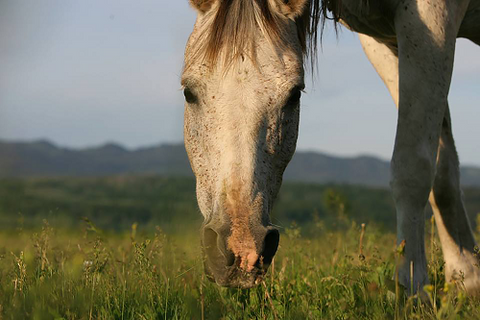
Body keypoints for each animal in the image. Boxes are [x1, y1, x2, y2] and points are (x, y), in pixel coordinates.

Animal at [181, 0, 480, 294]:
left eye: (294, 94)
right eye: (188, 92)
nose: (243, 250)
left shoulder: (431, 20)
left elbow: (413, 169)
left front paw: (413, 287)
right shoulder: (385, 44)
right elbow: (443, 171)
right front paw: (466, 278)